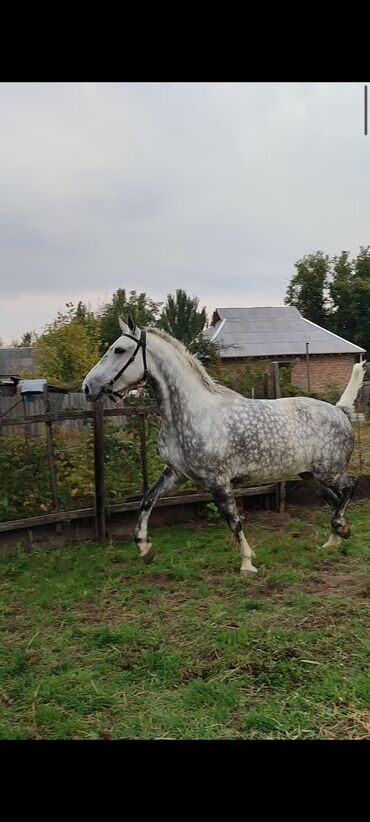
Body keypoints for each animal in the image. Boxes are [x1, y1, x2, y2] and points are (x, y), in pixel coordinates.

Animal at [81, 318, 364, 576]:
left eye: (119, 350)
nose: (87, 387)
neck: (191, 413)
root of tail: (340, 410)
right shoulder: (176, 473)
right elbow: (147, 500)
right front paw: (144, 549)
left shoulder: (217, 480)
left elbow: (234, 521)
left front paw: (247, 564)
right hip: (310, 476)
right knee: (334, 500)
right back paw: (334, 540)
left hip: (329, 472)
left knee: (350, 487)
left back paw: (340, 528)